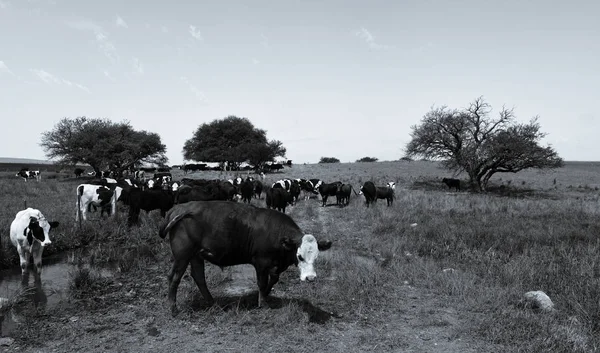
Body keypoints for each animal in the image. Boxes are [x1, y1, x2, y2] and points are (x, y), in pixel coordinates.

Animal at [157, 199, 332, 314]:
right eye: (300, 256)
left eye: (316, 257)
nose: (310, 277)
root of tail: (179, 208)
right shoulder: (261, 262)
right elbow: (262, 282)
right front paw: (263, 303)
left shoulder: (275, 265)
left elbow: (273, 280)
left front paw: (264, 295)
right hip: (182, 256)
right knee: (174, 277)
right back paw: (173, 308)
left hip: (195, 255)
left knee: (199, 277)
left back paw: (213, 304)